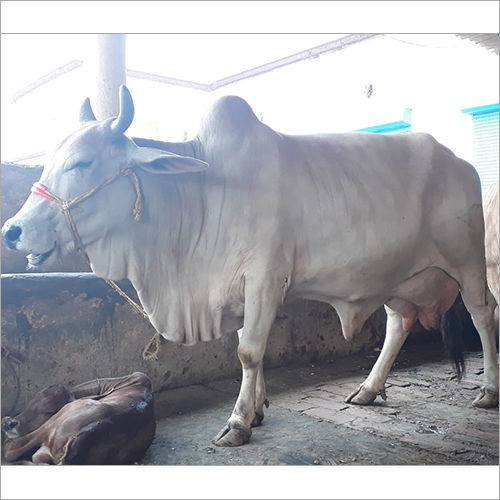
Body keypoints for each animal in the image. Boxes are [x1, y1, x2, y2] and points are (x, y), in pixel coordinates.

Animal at [1, 85, 498, 446]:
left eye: (82, 162)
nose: (13, 231)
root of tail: (460, 163)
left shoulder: (264, 278)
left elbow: (248, 351)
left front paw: (238, 422)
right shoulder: (242, 289)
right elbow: (248, 347)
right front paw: (257, 410)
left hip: (467, 262)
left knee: (483, 315)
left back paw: (488, 391)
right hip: (396, 277)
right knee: (398, 325)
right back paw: (369, 389)